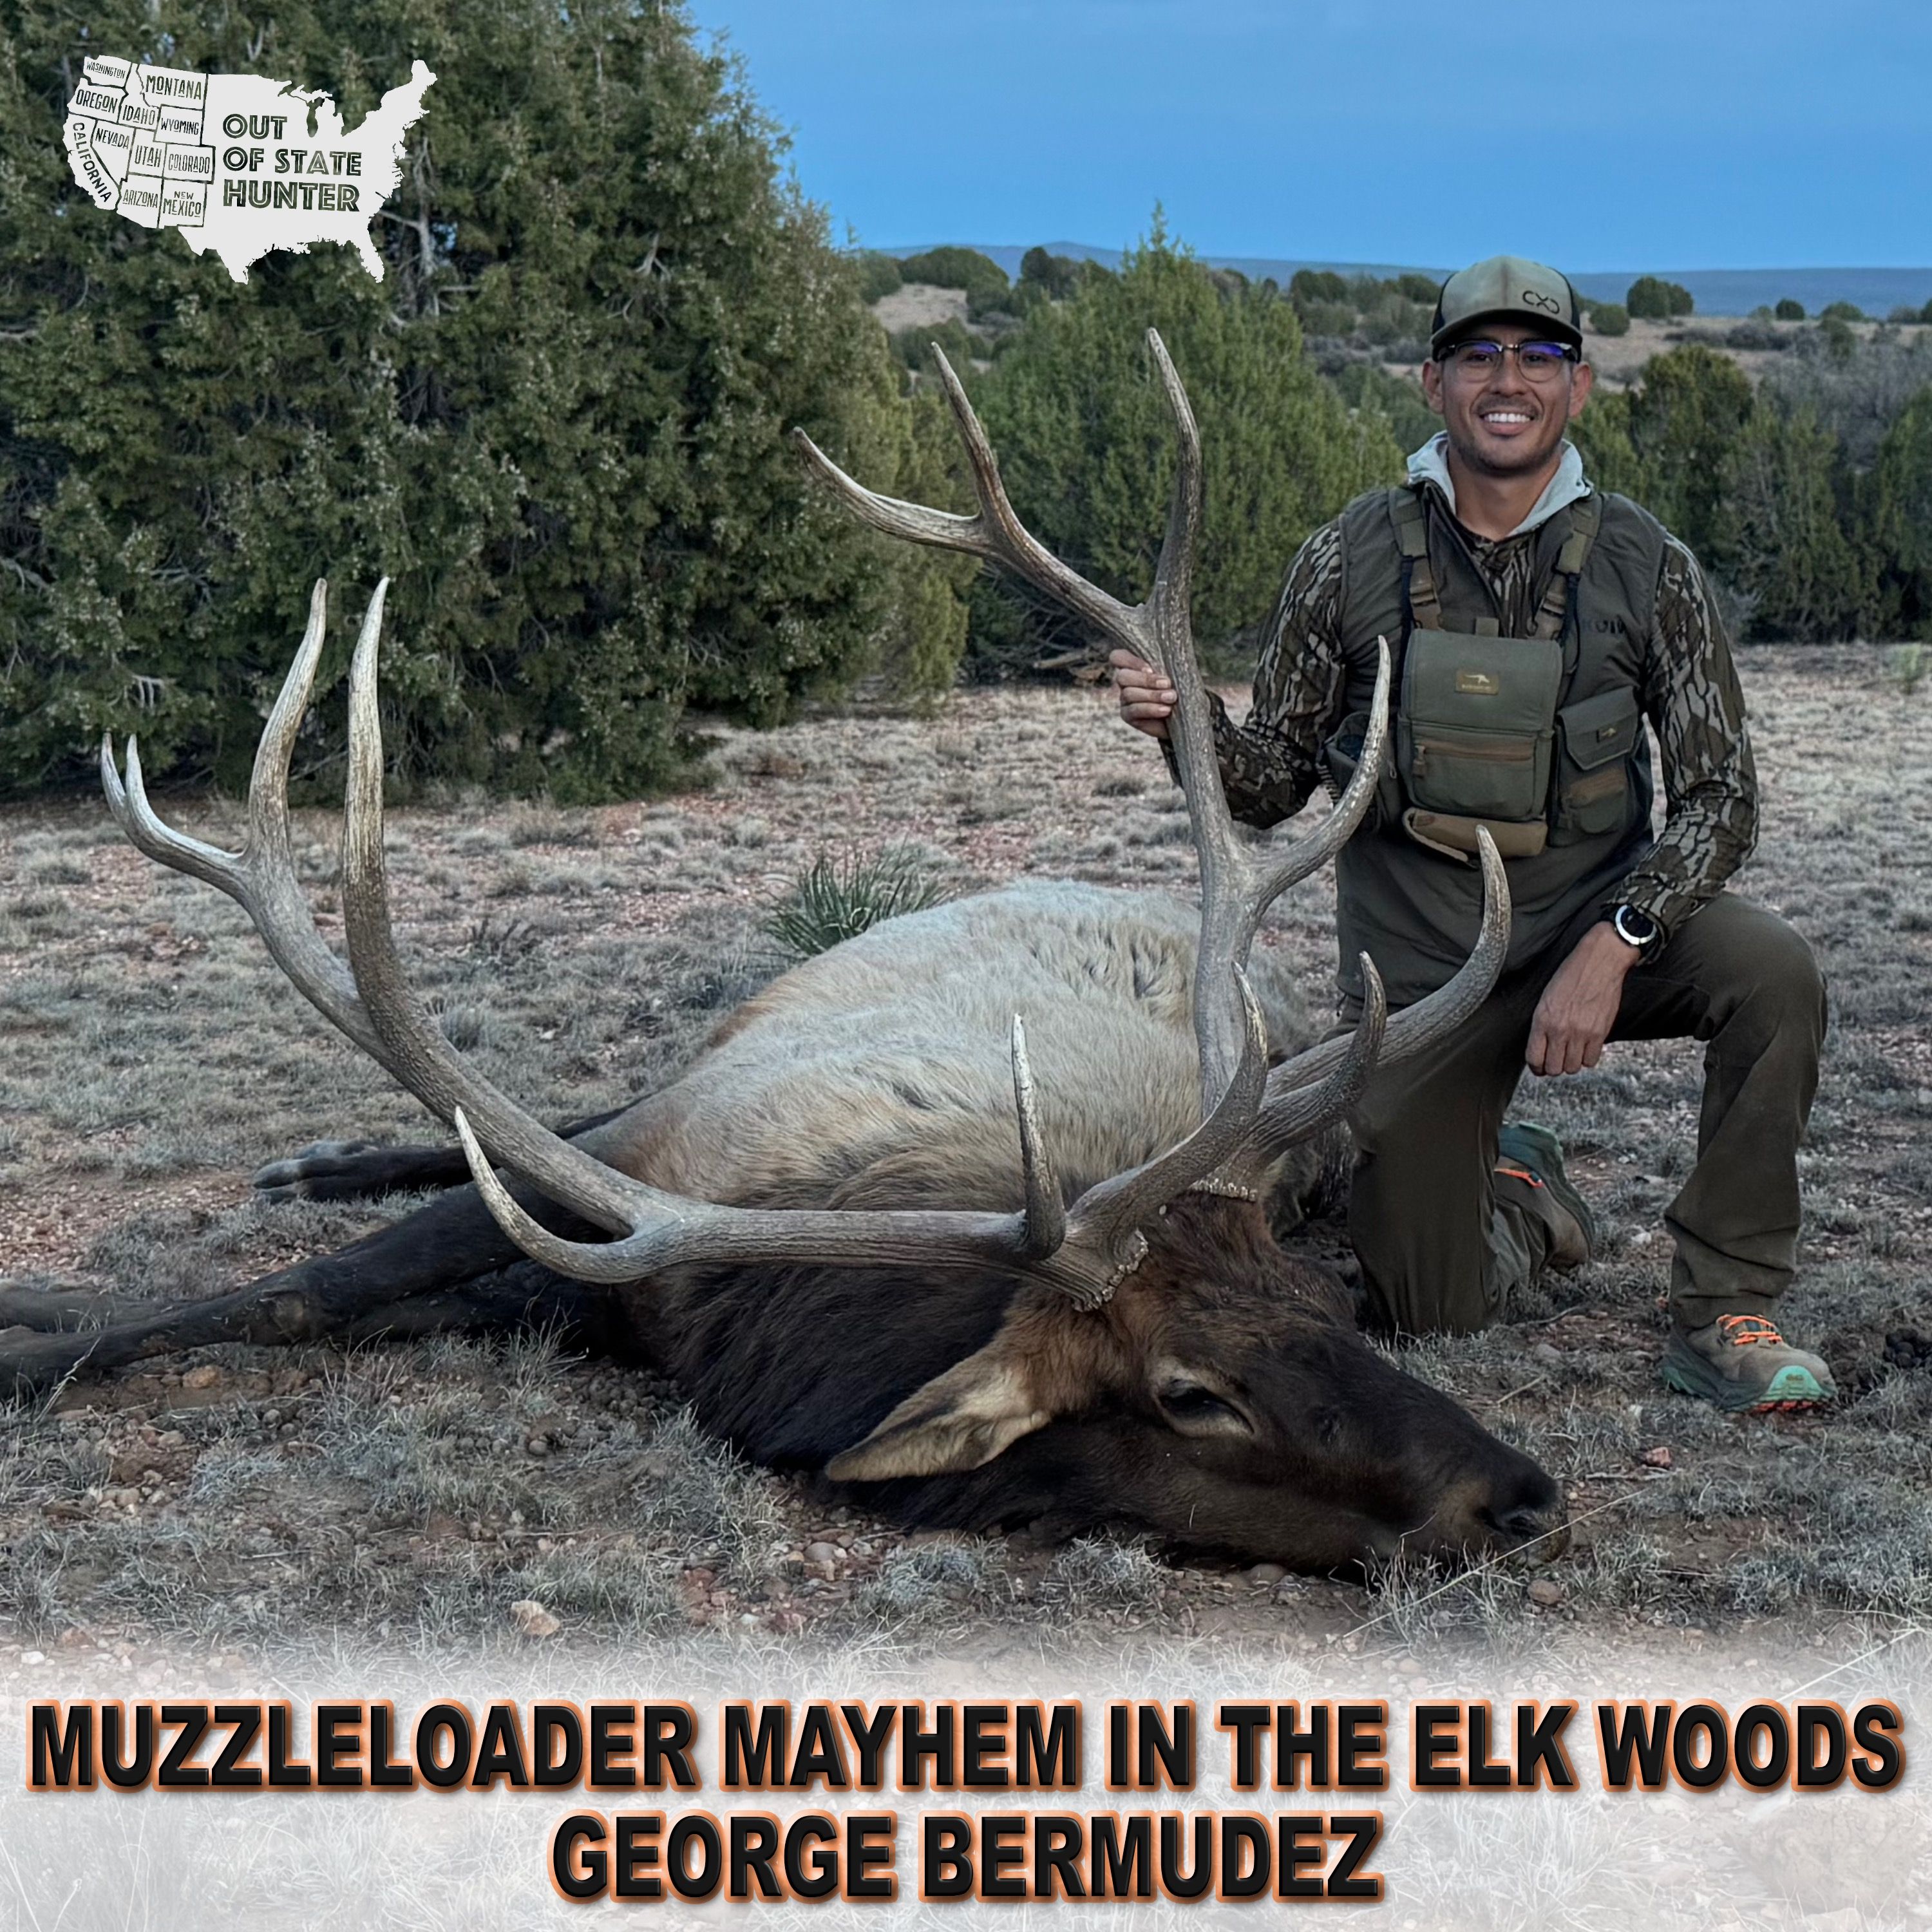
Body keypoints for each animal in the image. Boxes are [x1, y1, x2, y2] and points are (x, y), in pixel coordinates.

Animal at [2, 334, 1566, 1573]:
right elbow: (301, 1286)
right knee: (516, 1116)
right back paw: (312, 1163)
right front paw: (37, 1330)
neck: (758, 1304)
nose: (1523, 1495)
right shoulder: (654, 1158)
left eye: (1323, 1302)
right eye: (1194, 1393)